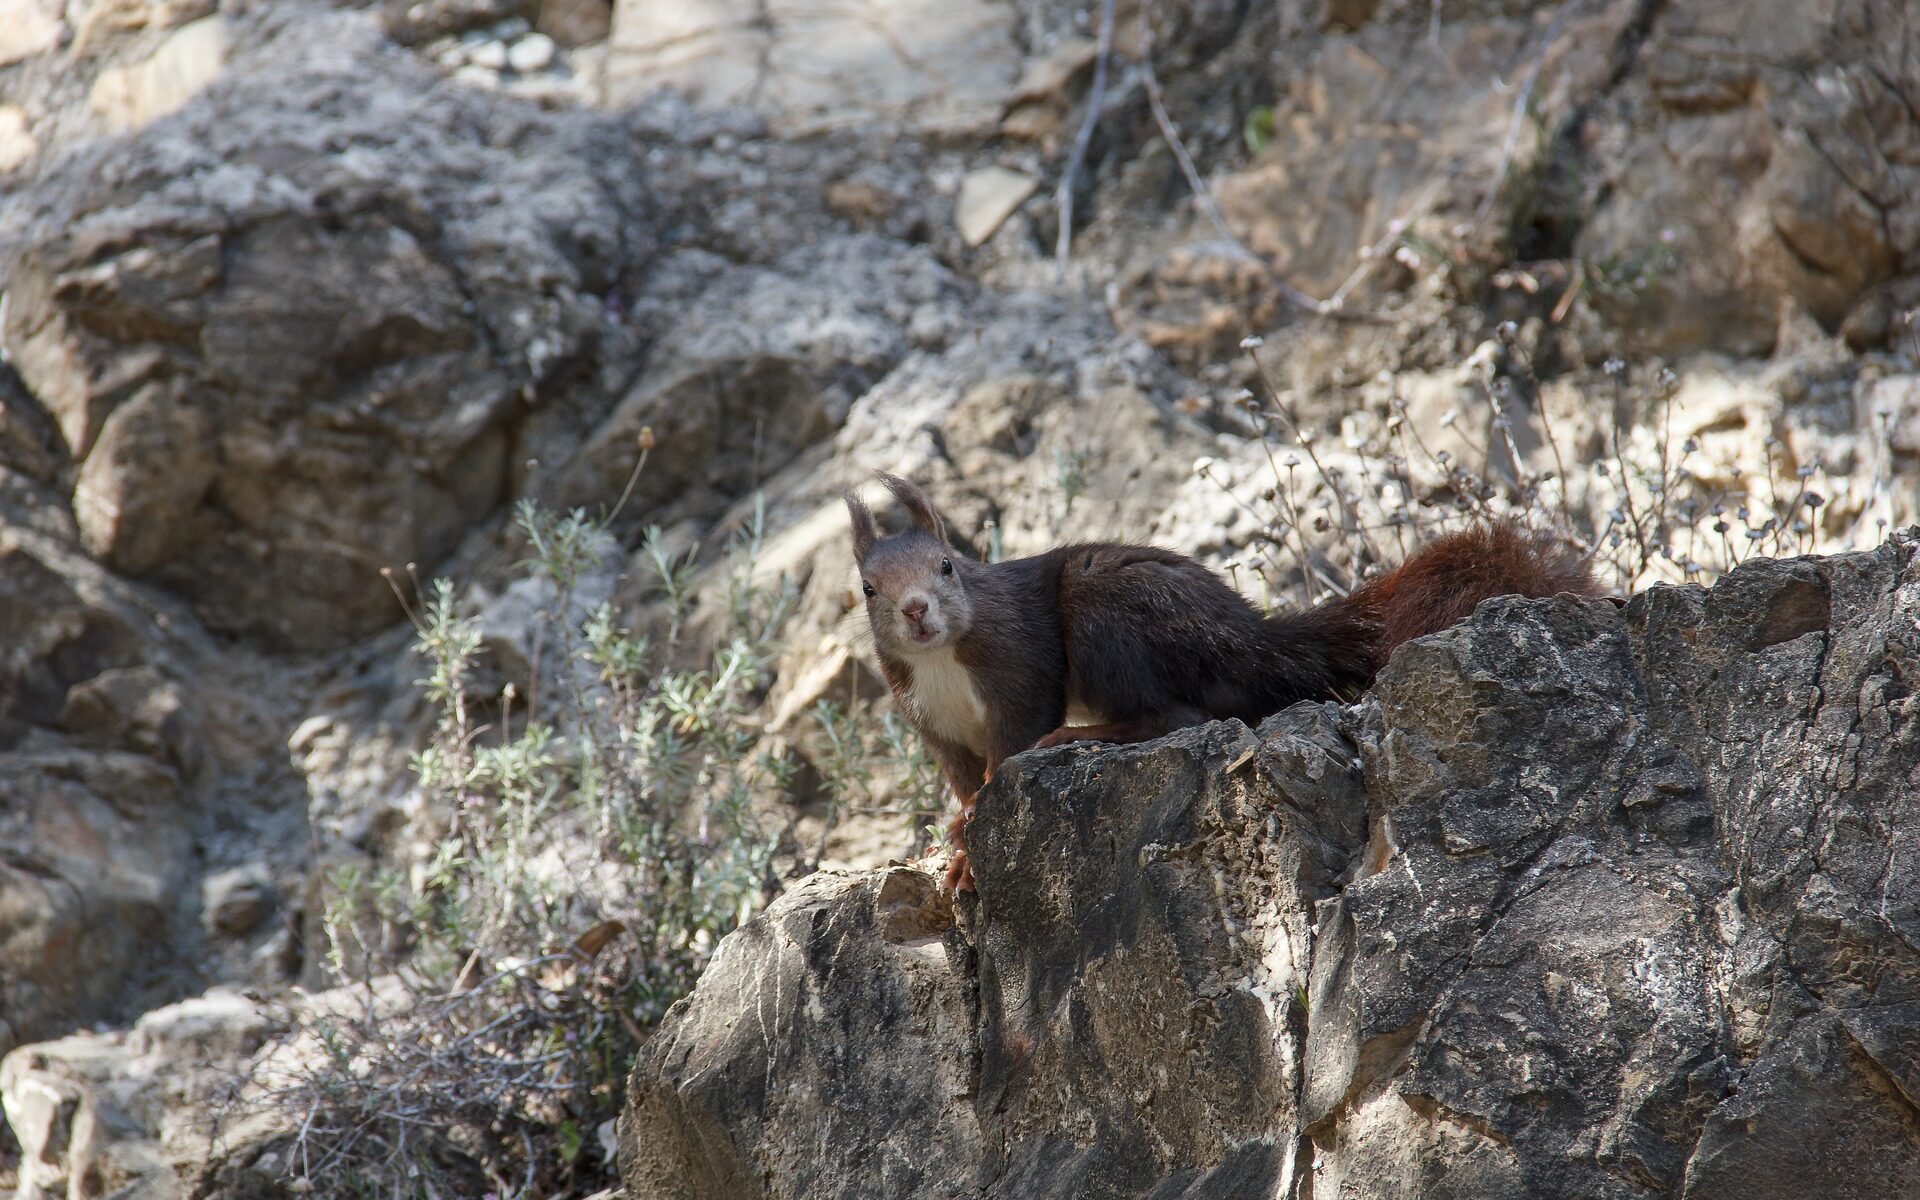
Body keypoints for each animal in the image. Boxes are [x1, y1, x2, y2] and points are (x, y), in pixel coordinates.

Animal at [848, 470, 1597, 890]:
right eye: (867, 589)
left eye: (948, 566)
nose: (916, 610)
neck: (941, 660)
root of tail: (1251, 639)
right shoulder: (936, 728)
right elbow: (960, 779)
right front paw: (947, 837)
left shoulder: (1018, 677)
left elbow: (1008, 750)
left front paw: (968, 847)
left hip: (1106, 614)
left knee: (1172, 715)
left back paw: (1081, 736)